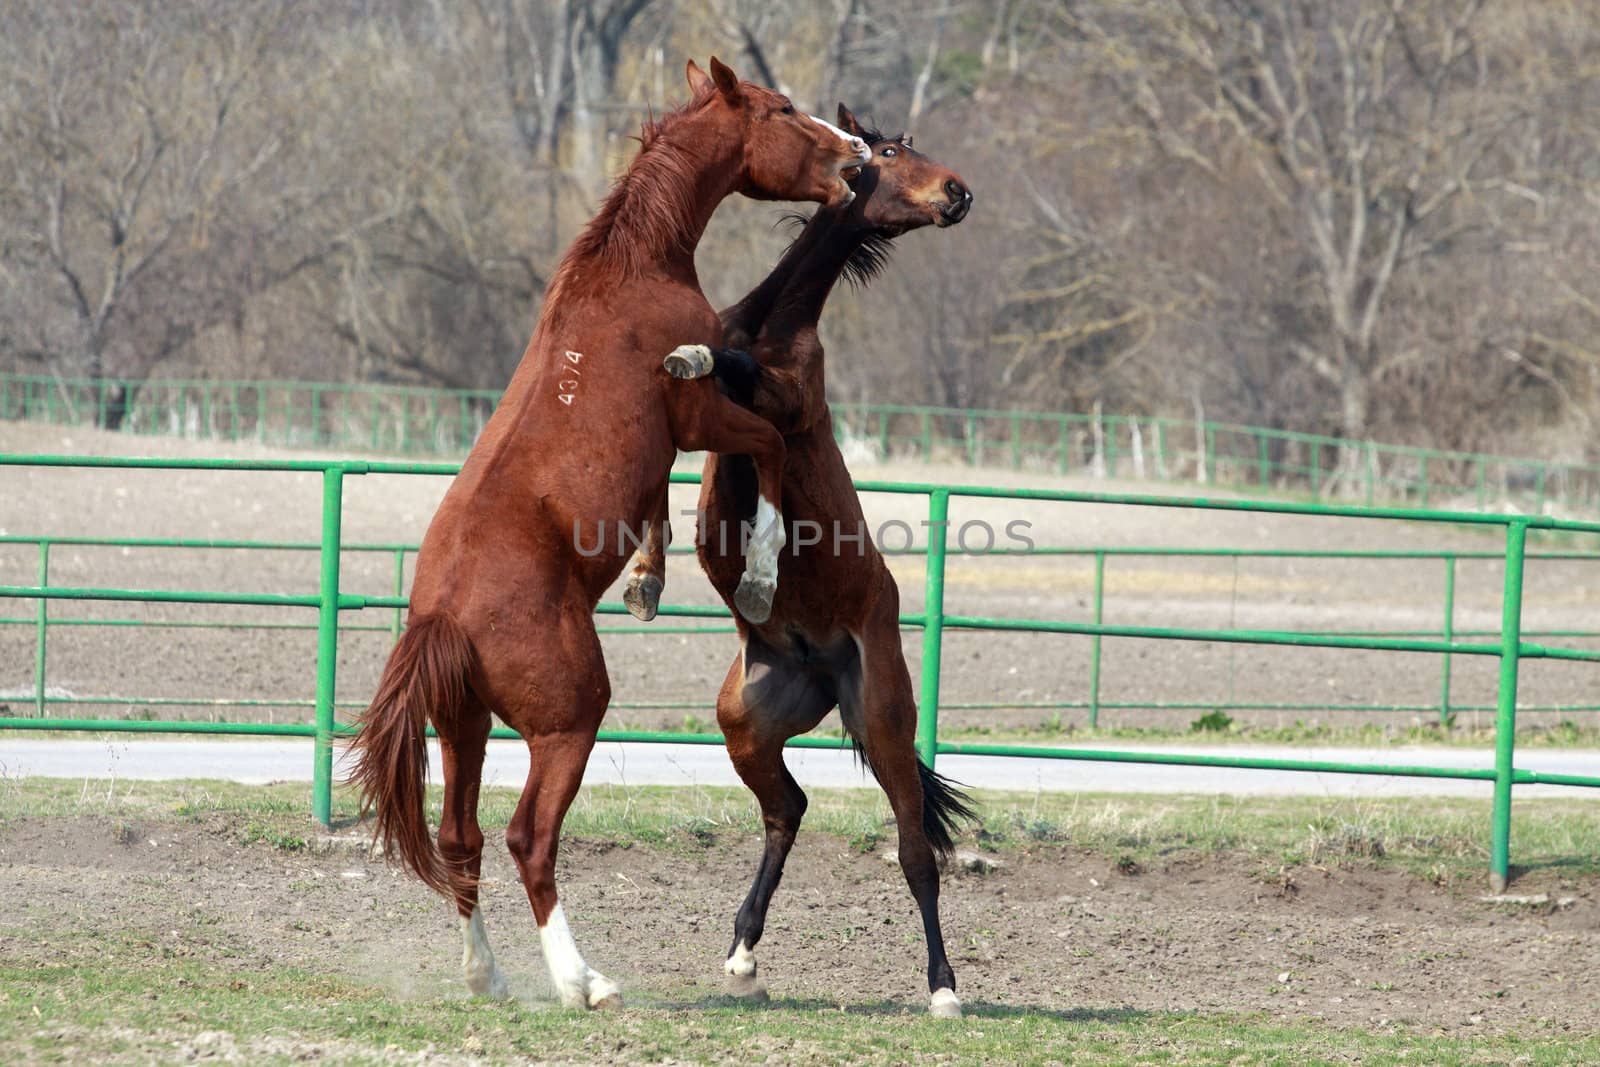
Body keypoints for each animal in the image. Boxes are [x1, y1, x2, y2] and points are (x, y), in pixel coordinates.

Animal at [347, 58, 876, 1011]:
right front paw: (757, 577)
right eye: (783, 110)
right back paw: (581, 979)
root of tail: (442, 618)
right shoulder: (699, 413)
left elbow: (663, 506)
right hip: (569, 721)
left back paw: (487, 974)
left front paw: (645, 580)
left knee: (461, 838)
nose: (856, 155)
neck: (632, 270)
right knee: (528, 838)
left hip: (465, 727)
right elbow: (772, 447)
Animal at [624, 108, 972, 1017]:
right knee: (788, 807)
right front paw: (645, 578)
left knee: (914, 849)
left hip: (882, 714)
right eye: (889, 150)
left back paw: (944, 987)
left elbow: (751, 401)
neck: (773, 322)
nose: (959, 193)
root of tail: (818, 664)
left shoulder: (786, 408)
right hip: (747, 722)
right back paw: (742, 950)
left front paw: (757, 568)